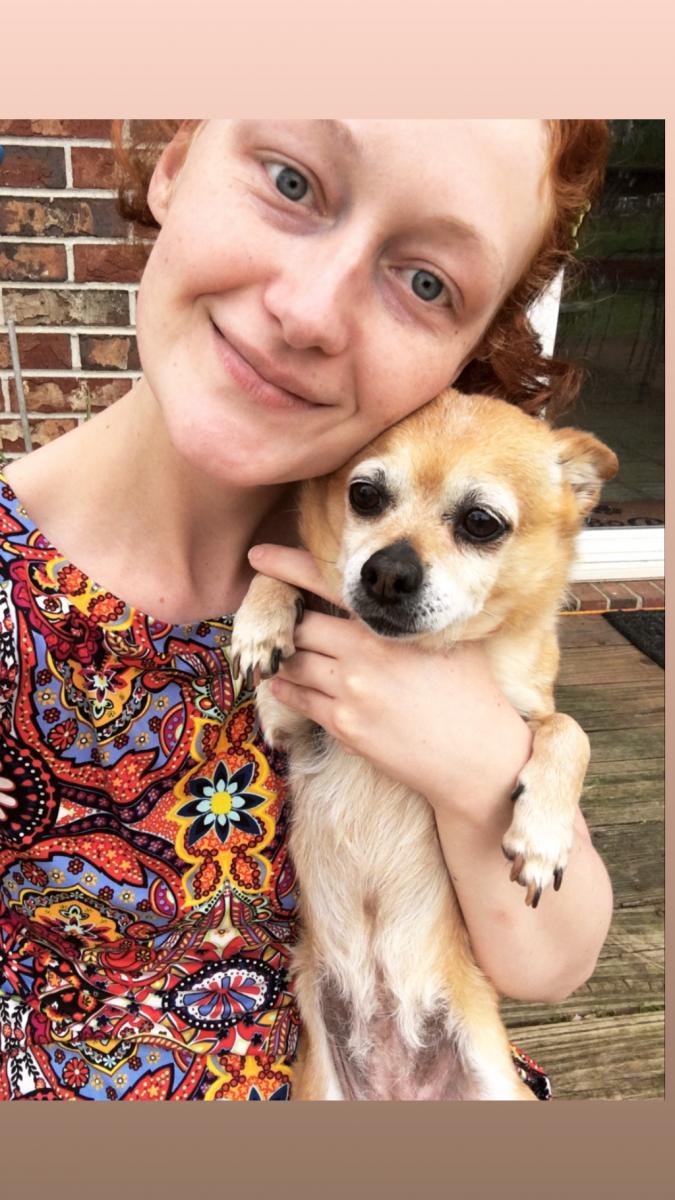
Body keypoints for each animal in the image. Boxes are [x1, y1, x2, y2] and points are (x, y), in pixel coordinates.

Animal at [229, 388, 614, 1099]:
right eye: (364, 496)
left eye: (481, 523)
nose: (385, 571)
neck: (430, 651)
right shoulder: (289, 722)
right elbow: (286, 575)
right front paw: (261, 620)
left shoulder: (529, 713)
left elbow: (568, 730)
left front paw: (543, 834)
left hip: (500, 1083)